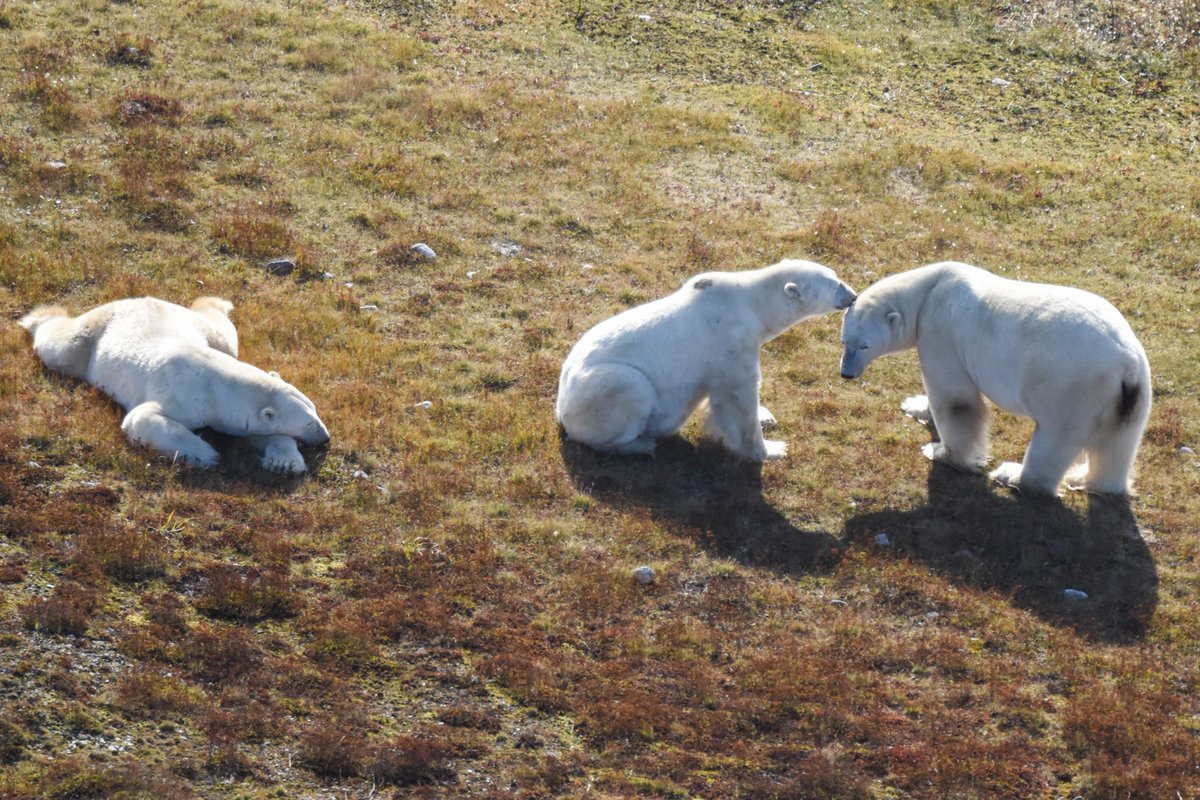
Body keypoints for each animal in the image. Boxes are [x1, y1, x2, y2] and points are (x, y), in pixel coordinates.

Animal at [20, 296, 330, 473]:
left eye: (315, 410)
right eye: (307, 422)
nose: (325, 437)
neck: (214, 382)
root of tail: (135, 298)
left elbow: (258, 433)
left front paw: (285, 461)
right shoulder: (180, 393)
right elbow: (142, 419)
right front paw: (206, 454)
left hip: (202, 328)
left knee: (222, 330)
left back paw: (217, 303)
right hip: (91, 335)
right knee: (61, 347)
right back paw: (39, 317)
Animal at [556, 259, 857, 461]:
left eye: (836, 275)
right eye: (834, 285)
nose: (853, 296)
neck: (752, 304)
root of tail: (560, 410)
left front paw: (766, 416)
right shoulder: (730, 342)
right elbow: (738, 396)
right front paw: (772, 449)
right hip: (605, 390)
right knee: (629, 389)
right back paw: (642, 444)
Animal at [839, 261, 1151, 496]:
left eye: (864, 345)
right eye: (844, 341)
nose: (846, 373)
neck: (929, 292)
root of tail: (1127, 365)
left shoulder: (941, 333)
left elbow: (955, 399)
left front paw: (941, 452)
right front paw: (914, 405)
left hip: (1071, 386)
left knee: (1054, 439)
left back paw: (1012, 475)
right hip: (1131, 399)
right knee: (1118, 445)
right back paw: (1085, 479)